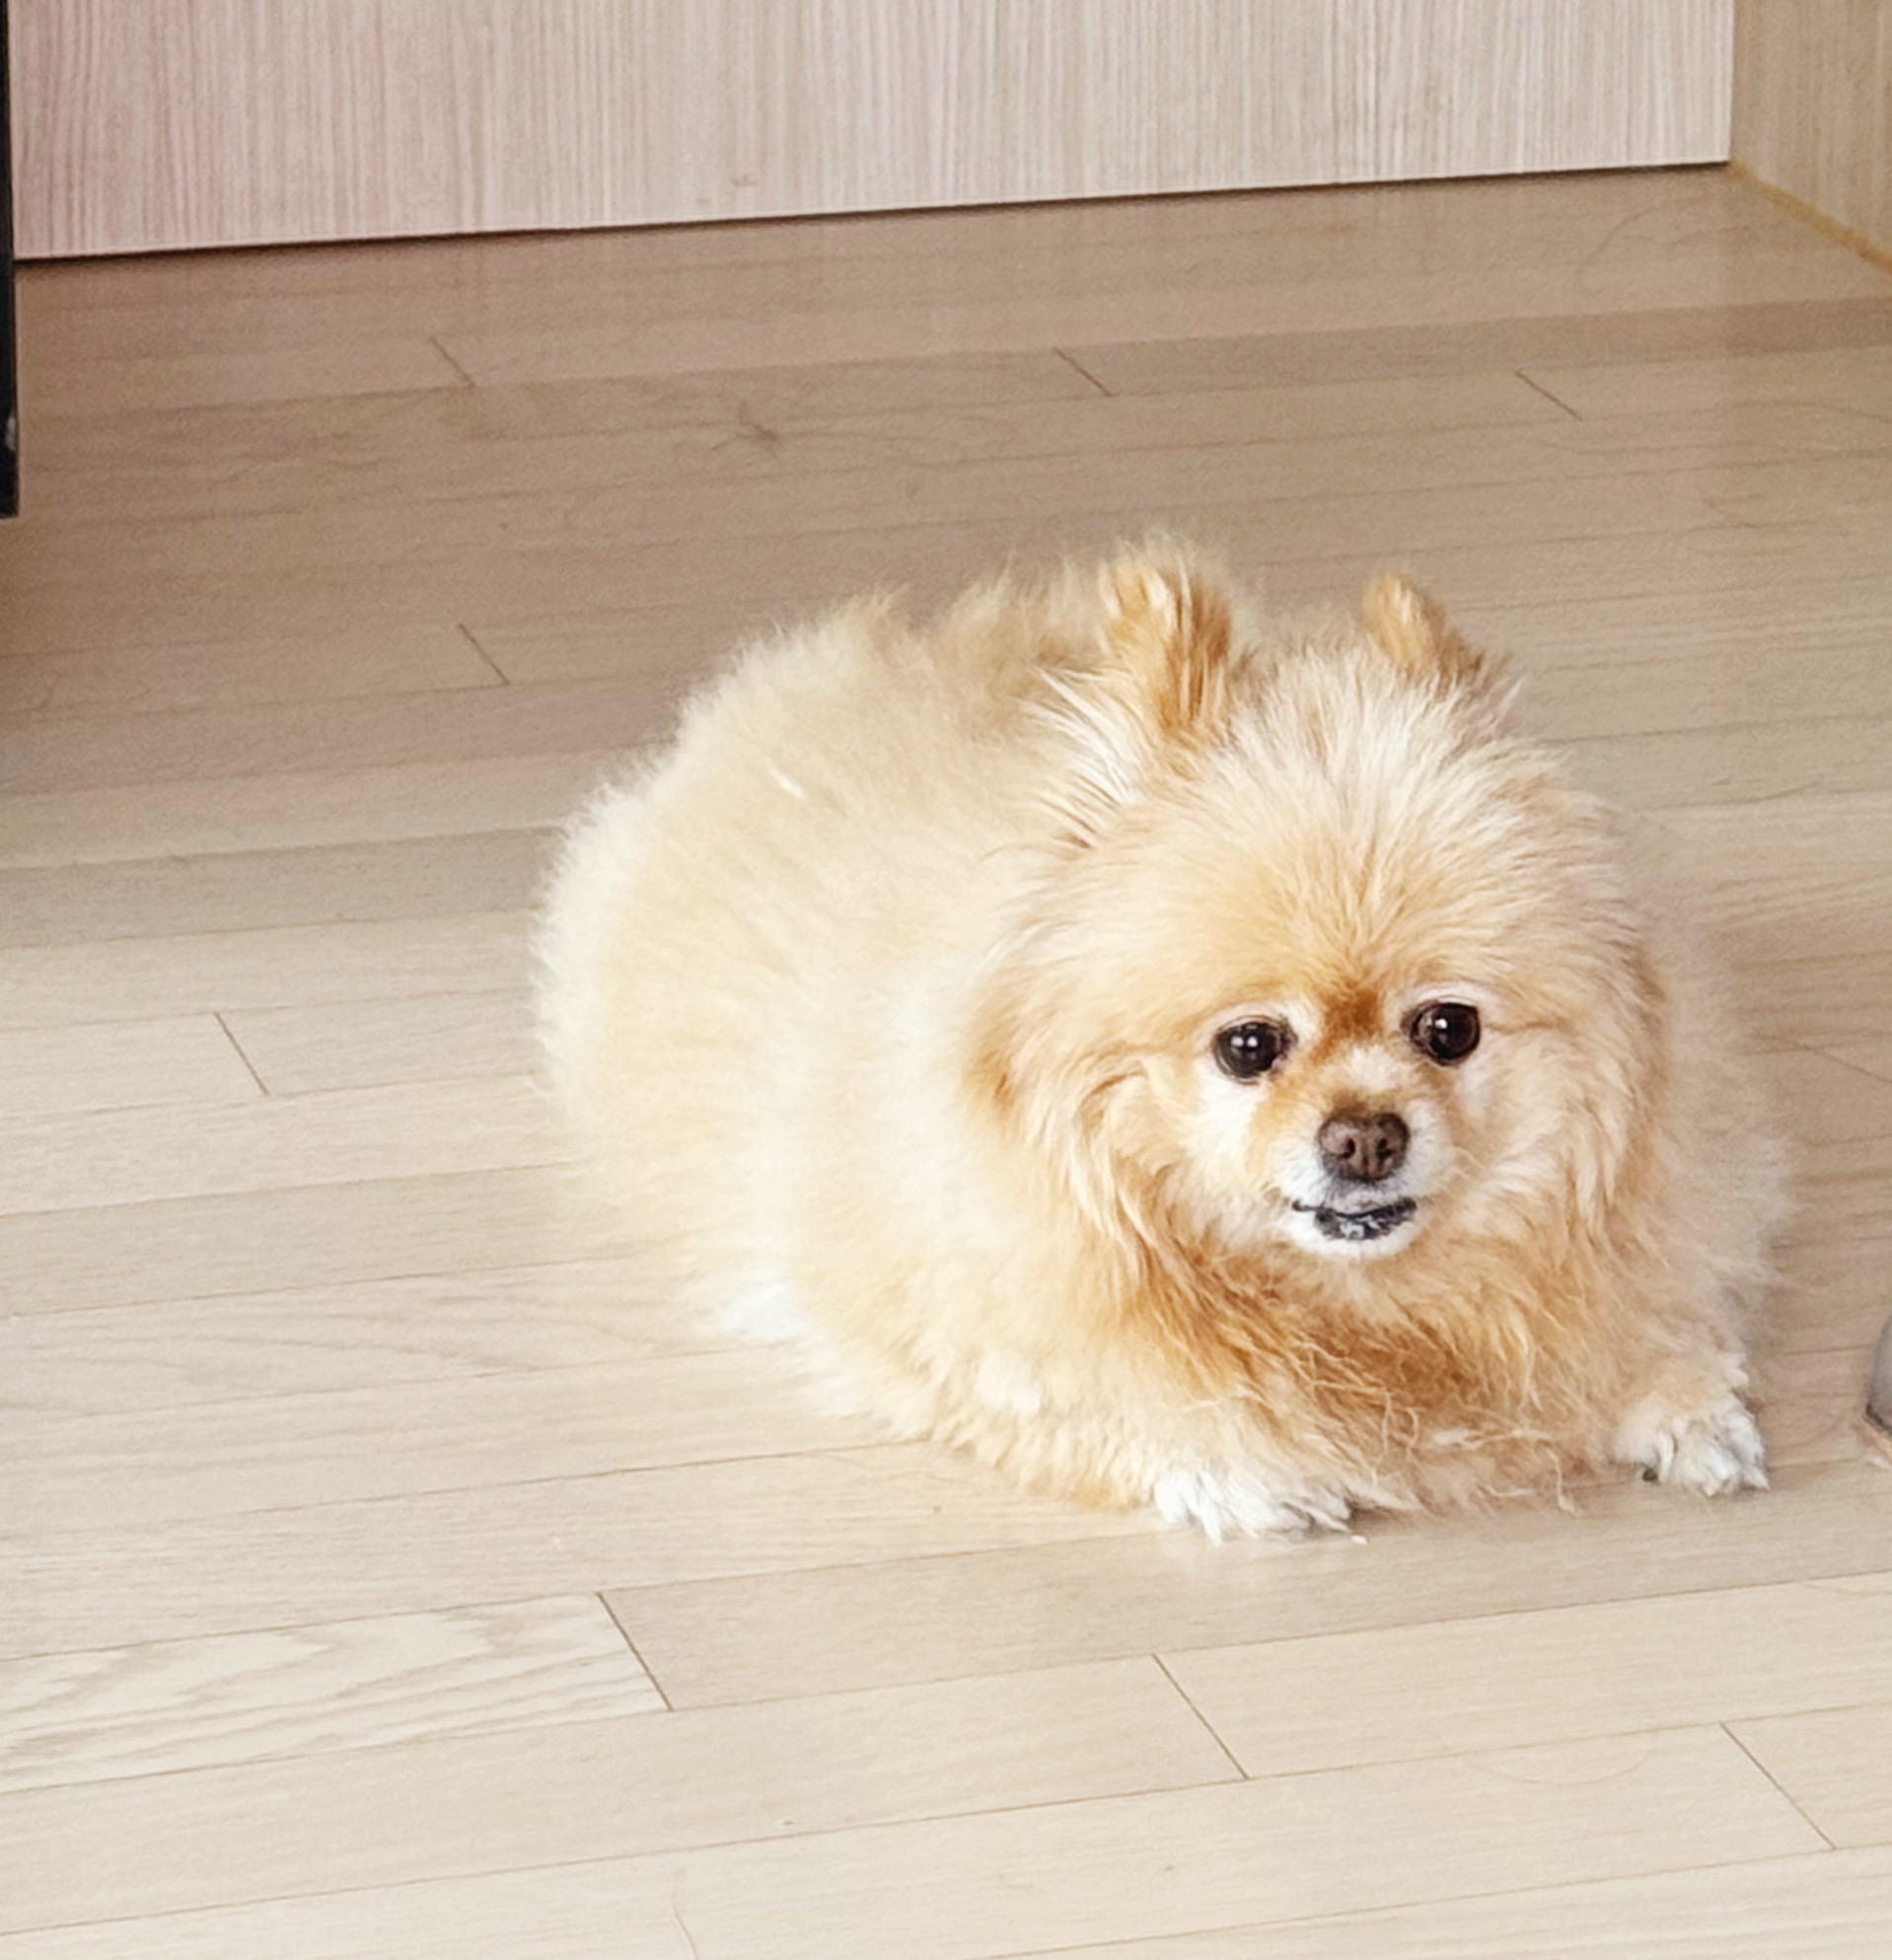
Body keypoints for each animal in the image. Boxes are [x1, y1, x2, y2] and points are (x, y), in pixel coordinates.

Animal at [537, 545, 1781, 1537]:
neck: (1357, 1316)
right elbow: (1102, 1403)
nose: (1365, 1136)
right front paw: (1236, 1468)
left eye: (1447, 1028)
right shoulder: (937, 1341)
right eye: (1248, 1047)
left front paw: (1685, 1405)